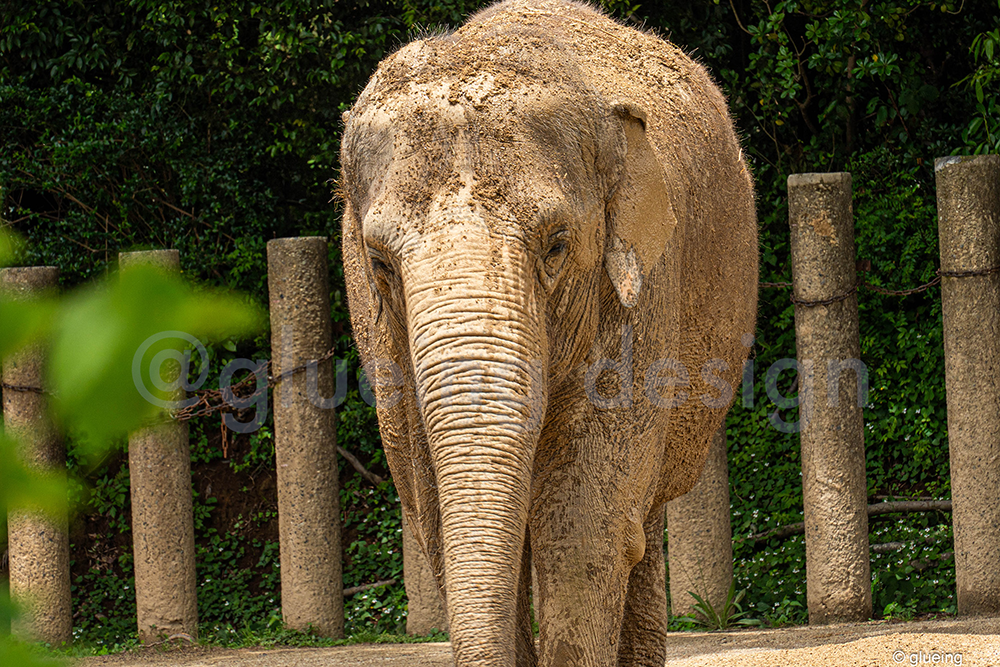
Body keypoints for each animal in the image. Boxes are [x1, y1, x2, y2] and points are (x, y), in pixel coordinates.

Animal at [340, 1, 752, 667]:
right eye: (378, 263)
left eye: (557, 246)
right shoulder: (382, 340)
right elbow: (437, 521)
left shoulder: (639, 296)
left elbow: (584, 526)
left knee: (639, 521)